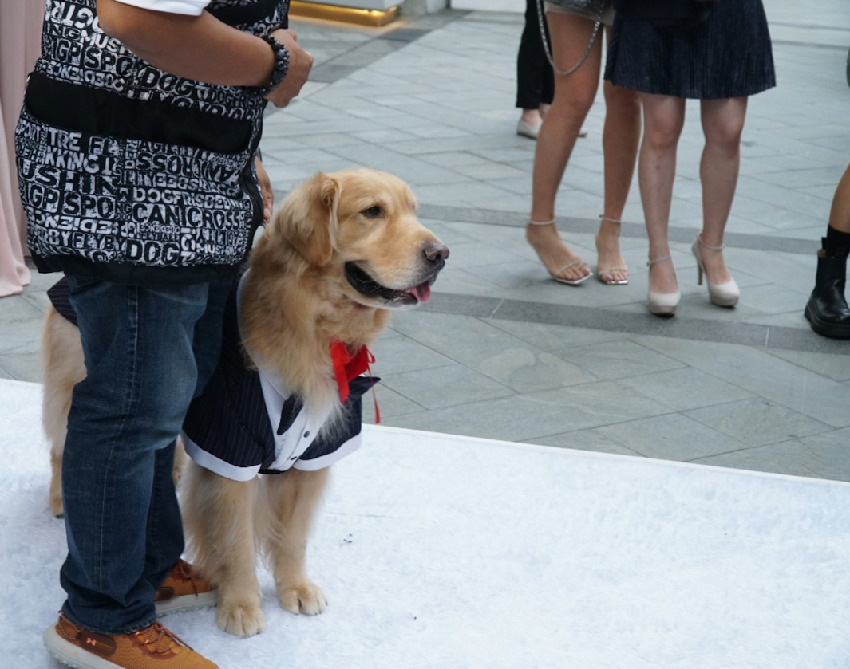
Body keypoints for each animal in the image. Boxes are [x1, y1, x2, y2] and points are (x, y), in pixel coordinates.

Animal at [38, 168, 450, 636]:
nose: (441, 254)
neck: (309, 325)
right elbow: (236, 540)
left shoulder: (314, 455)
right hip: (84, 386)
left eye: (413, 211)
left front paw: (296, 587)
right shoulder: (230, 451)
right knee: (62, 448)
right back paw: (60, 499)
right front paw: (240, 605)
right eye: (373, 211)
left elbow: (293, 536)